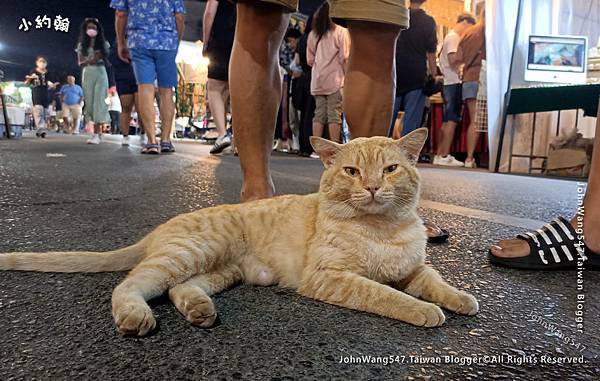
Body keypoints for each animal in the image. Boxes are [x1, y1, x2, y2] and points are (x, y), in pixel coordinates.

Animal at [0, 128, 478, 336]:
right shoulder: (331, 278)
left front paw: (460, 299)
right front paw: (424, 311)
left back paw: (199, 311)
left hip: (218, 269)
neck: (383, 230)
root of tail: (161, 227)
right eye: (352, 172)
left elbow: (436, 282)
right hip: (190, 253)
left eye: (391, 169)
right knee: (131, 284)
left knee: (180, 288)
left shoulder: (414, 268)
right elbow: (386, 295)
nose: (374, 187)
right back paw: (136, 316)